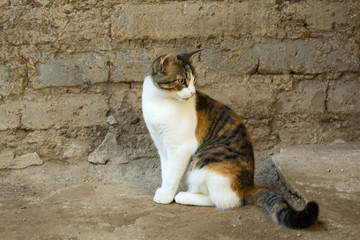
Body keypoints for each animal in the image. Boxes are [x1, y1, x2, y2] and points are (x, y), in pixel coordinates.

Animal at [141, 49, 318, 228]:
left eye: (194, 81)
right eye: (182, 81)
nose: (192, 92)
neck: (161, 101)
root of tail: (248, 186)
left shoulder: (181, 148)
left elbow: (172, 175)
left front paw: (166, 196)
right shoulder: (162, 146)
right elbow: (166, 171)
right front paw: (163, 190)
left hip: (206, 161)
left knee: (226, 201)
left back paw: (185, 196)